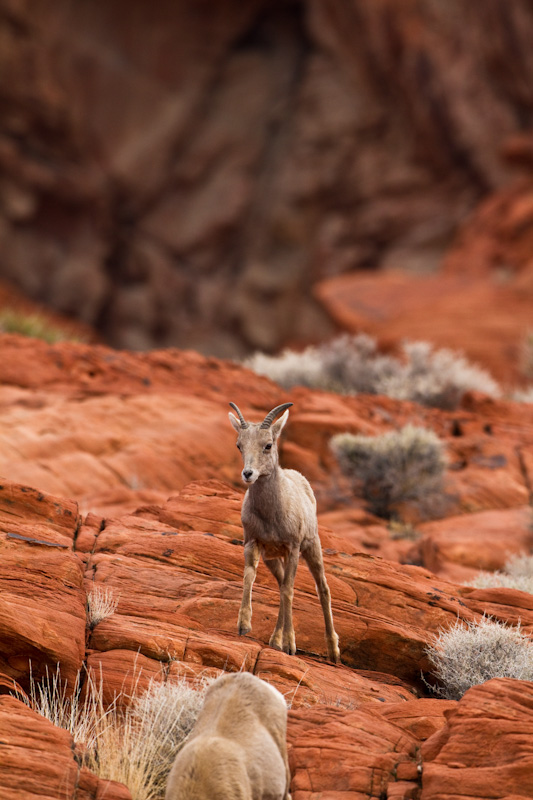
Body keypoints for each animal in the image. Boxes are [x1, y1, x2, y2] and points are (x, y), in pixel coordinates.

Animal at [227, 400, 338, 664]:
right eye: (239, 445)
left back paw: (333, 652)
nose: (248, 474)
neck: (271, 515)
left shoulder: (293, 548)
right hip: (274, 559)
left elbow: (289, 591)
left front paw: (290, 645)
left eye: (268, 445)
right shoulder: (253, 544)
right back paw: (275, 641)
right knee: (280, 588)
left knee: (322, 589)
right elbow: (250, 577)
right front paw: (244, 625)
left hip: (311, 548)